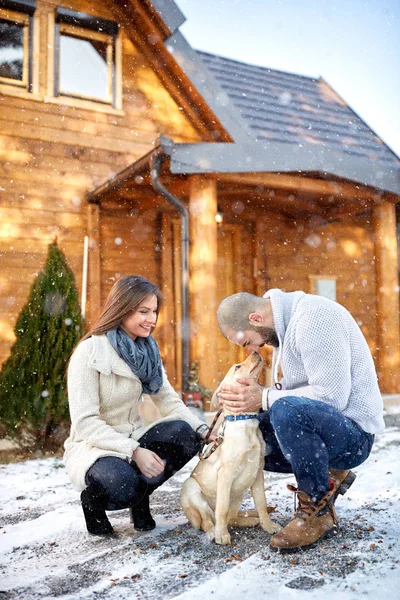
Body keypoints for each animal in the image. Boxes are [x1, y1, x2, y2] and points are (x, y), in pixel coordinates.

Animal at [180, 352, 280, 544]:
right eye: (237, 367)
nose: (256, 352)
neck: (246, 421)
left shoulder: (257, 472)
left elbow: (261, 503)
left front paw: (268, 526)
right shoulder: (225, 473)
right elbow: (222, 508)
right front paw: (222, 535)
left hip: (239, 492)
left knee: (232, 518)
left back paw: (251, 520)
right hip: (193, 490)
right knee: (206, 521)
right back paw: (214, 531)